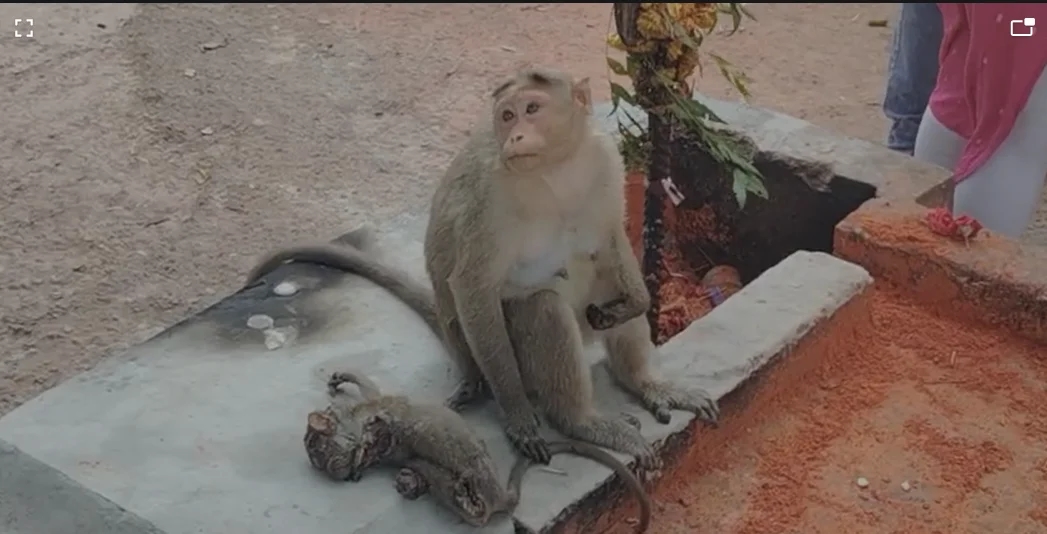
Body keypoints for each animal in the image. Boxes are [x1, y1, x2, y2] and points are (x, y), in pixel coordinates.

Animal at [304, 369, 651, 532]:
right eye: (322, 456)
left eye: (317, 445)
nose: (338, 467)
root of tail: (499, 494)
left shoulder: (377, 407)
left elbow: (375, 397)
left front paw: (344, 379)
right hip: (452, 480)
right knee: (446, 486)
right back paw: (451, 494)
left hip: (476, 470)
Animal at [421, 66, 720, 468]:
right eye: (507, 115)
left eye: (532, 108)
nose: (514, 135)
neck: (556, 169)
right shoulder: (490, 199)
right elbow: (473, 286)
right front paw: (517, 414)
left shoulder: (606, 159)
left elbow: (609, 234)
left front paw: (639, 302)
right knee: (543, 307)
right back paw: (581, 421)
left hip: (590, 318)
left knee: (606, 285)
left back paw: (644, 382)